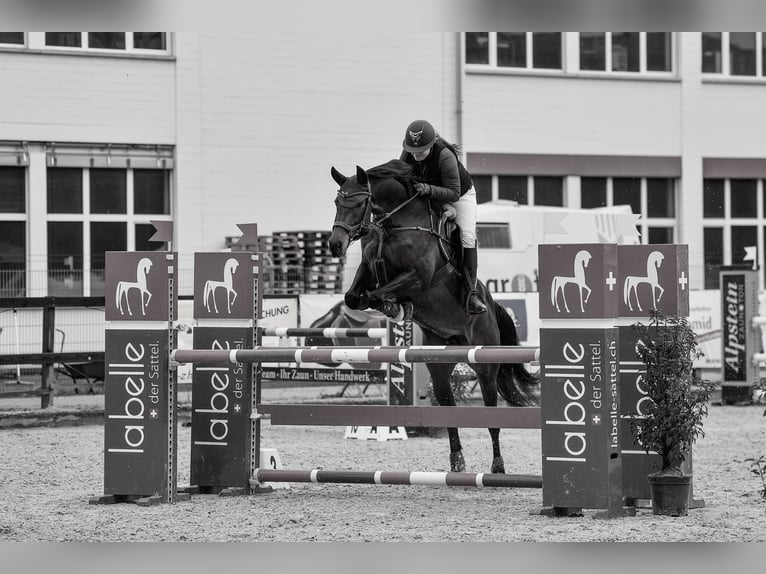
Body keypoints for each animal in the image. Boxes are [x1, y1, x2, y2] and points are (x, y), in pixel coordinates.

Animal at [328, 159, 539, 473]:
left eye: (360, 202)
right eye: (337, 202)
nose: (335, 244)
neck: (395, 224)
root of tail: (491, 304)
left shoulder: (419, 276)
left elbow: (379, 294)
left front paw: (395, 306)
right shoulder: (367, 267)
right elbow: (355, 296)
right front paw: (391, 306)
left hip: (485, 367)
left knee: (492, 418)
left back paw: (497, 466)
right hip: (439, 367)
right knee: (448, 408)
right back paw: (457, 461)